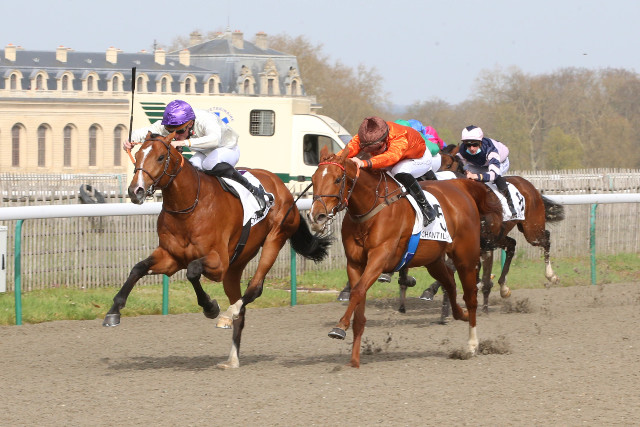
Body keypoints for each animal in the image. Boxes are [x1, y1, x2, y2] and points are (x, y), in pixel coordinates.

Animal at [104, 132, 330, 370]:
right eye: (137, 155)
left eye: (159, 157)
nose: (135, 191)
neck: (189, 207)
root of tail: (282, 187)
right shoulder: (171, 257)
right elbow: (138, 268)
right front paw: (114, 311)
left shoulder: (218, 263)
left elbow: (193, 270)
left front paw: (210, 307)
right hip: (236, 264)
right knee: (241, 307)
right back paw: (232, 358)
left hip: (274, 238)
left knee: (254, 289)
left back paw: (228, 314)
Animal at [308, 148, 502, 368]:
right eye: (313, 179)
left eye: (338, 179)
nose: (316, 216)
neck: (370, 209)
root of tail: (461, 186)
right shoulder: (355, 264)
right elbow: (359, 299)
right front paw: (354, 359)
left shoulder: (379, 258)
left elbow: (357, 291)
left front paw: (339, 327)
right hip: (434, 261)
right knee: (450, 284)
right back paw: (460, 314)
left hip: (465, 258)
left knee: (470, 296)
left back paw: (472, 344)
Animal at [440, 145, 564, 312]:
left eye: (448, 165)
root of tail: (530, 186)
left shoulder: (486, 246)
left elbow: (485, 280)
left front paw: (485, 309)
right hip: (501, 236)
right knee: (512, 245)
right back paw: (503, 288)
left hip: (531, 231)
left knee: (546, 239)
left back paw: (551, 275)